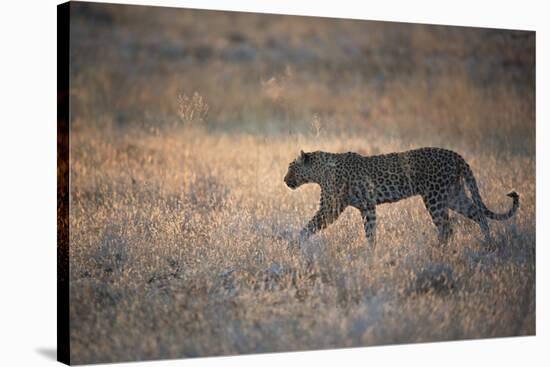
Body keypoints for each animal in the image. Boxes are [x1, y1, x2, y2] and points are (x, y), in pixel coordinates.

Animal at [284, 148, 520, 249]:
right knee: (479, 214)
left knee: (446, 228)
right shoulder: (367, 207)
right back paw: (488, 242)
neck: (319, 171)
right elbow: (370, 232)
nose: (285, 180)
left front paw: (296, 242)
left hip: (434, 197)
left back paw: (436, 251)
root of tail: (456, 155)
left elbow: (310, 225)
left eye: (291, 167)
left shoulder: (330, 208)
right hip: (454, 194)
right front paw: (371, 252)